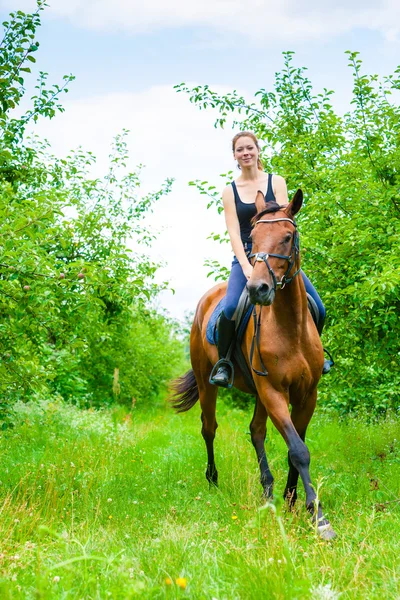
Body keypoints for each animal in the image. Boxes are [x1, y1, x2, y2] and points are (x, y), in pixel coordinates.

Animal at [170, 189, 336, 540]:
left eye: (287, 237)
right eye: (253, 238)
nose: (257, 288)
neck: (289, 327)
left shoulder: (306, 394)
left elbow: (295, 447)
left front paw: (293, 501)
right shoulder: (273, 390)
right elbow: (298, 450)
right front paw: (319, 517)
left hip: (260, 394)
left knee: (256, 431)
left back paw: (268, 490)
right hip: (208, 384)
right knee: (209, 428)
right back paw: (213, 481)